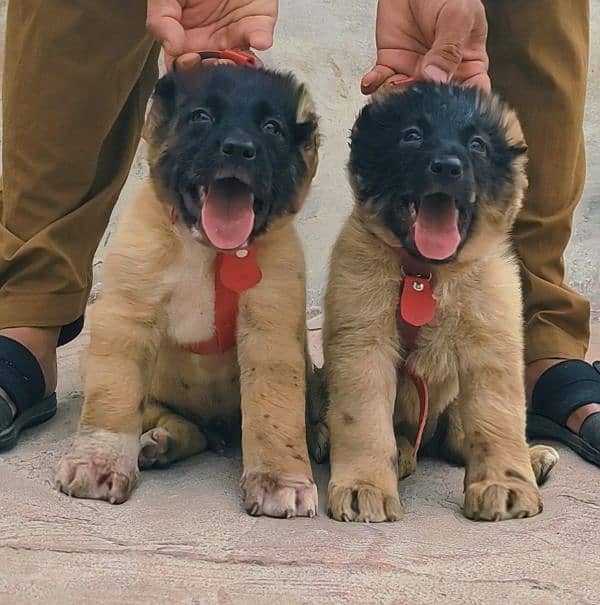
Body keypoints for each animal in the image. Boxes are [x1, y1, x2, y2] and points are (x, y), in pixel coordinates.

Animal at [54, 62, 322, 520]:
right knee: (173, 421)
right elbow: (113, 400)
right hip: (105, 369)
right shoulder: (127, 317)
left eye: (272, 127)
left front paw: (279, 479)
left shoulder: (271, 332)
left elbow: (274, 412)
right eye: (201, 117)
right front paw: (99, 463)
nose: (238, 149)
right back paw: (160, 442)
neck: (210, 252)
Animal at [316, 82, 560, 520]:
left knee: (458, 438)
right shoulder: (363, 345)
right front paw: (364, 485)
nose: (447, 167)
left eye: (478, 145)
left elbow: (497, 419)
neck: (425, 276)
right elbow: (363, 422)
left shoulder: (492, 344)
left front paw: (504, 483)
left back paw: (530, 459)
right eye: (412, 135)